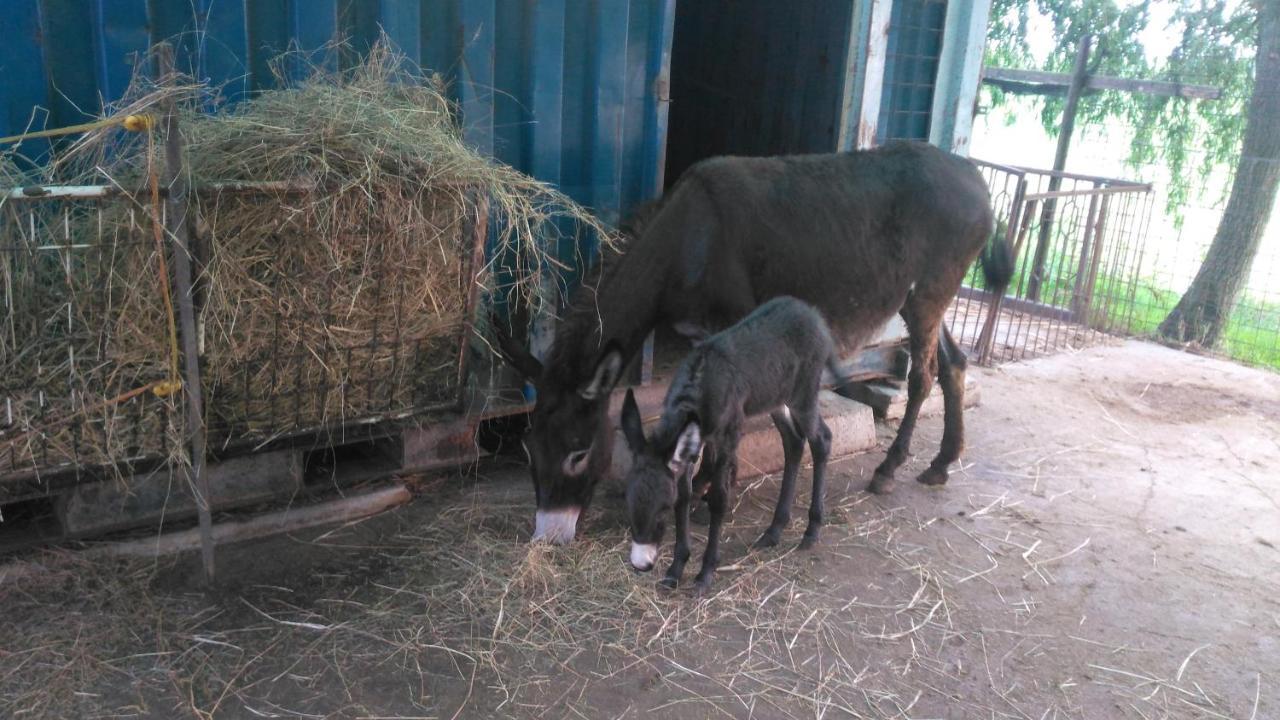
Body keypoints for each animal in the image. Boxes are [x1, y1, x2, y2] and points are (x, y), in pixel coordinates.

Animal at [622, 294, 839, 591]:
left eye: (662, 509)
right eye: (630, 504)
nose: (641, 564)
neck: (699, 390)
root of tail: (812, 313)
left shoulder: (729, 437)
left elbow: (719, 498)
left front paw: (705, 573)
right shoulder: (696, 444)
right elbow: (685, 495)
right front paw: (675, 570)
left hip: (804, 394)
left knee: (821, 440)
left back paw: (812, 530)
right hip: (776, 397)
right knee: (793, 441)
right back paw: (773, 531)